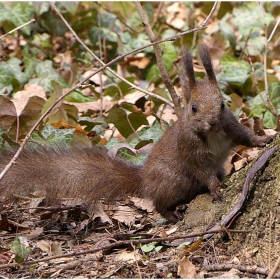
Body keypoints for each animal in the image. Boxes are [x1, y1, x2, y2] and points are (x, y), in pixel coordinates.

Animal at [0, 43, 274, 223]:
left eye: (223, 104)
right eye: (193, 107)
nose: (213, 121)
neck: (211, 133)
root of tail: (144, 180)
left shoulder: (230, 127)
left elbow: (246, 137)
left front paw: (265, 139)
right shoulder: (190, 150)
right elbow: (202, 171)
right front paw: (215, 189)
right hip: (175, 181)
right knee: (159, 202)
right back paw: (171, 212)